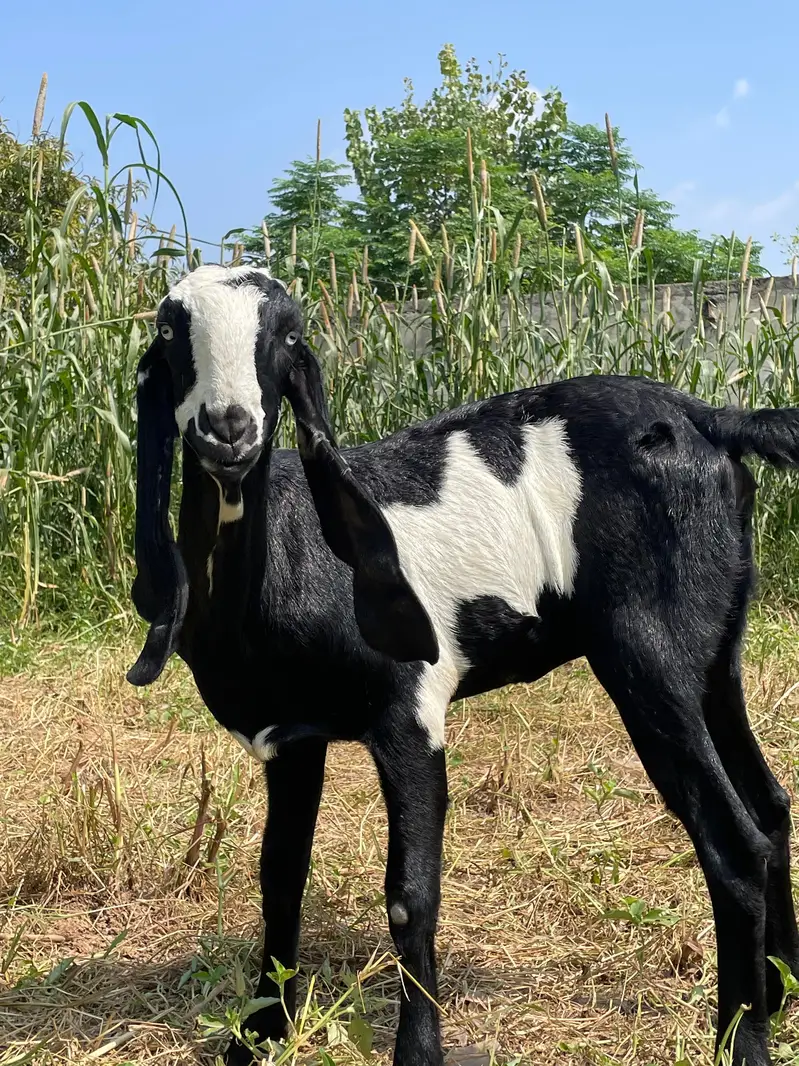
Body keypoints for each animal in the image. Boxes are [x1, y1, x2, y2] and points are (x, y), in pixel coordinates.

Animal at [128, 263, 799, 1066]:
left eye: (287, 336)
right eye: (171, 330)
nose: (228, 427)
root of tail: (710, 417)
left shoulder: (408, 715)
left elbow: (409, 894)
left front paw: (417, 1050)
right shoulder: (291, 740)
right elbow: (279, 876)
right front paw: (259, 1034)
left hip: (650, 654)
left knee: (733, 842)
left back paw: (742, 1038)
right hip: (714, 650)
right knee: (769, 804)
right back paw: (781, 991)